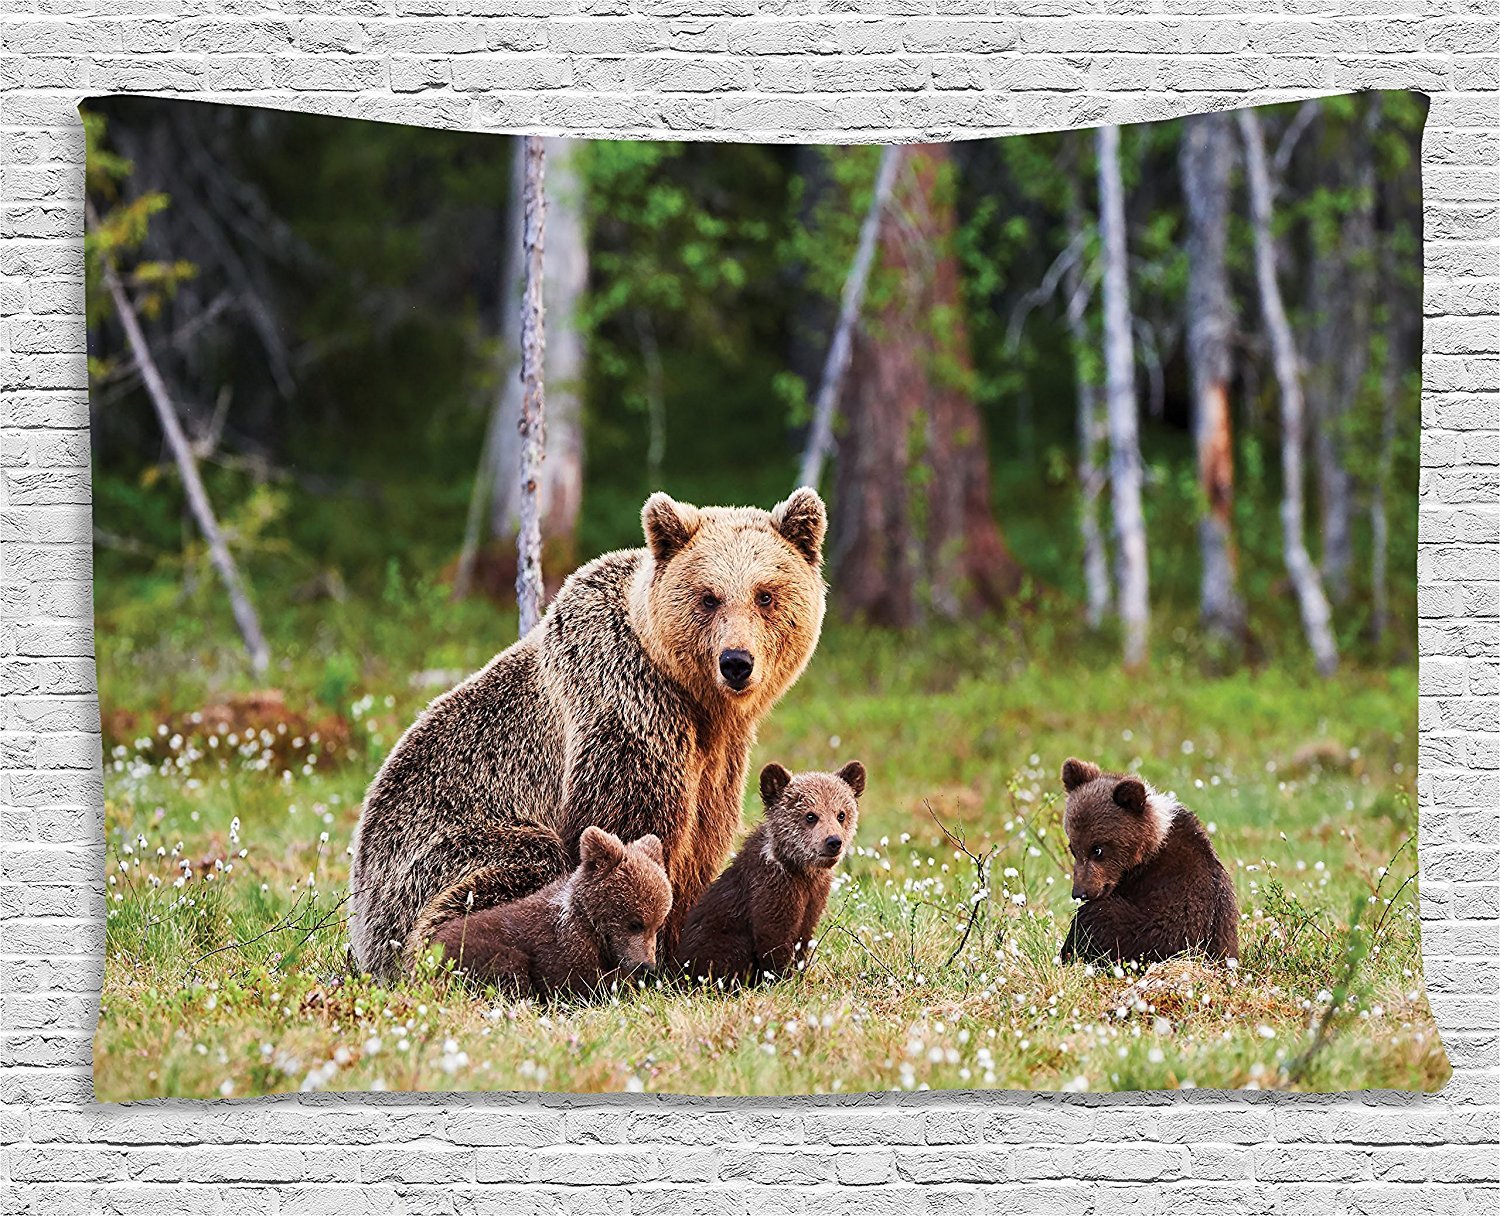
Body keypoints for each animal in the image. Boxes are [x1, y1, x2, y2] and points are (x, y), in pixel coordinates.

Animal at [347, 487, 828, 979]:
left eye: (765, 595)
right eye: (708, 597)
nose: (736, 662)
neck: (695, 700)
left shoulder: (719, 757)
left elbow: (700, 845)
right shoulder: (626, 710)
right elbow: (627, 830)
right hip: (436, 856)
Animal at [674, 760, 864, 985]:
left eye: (841, 814)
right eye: (810, 815)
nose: (834, 841)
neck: (799, 870)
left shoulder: (814, 897)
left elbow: (803, 936)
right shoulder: (773, 890)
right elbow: (773, 939)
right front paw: (781, 979)